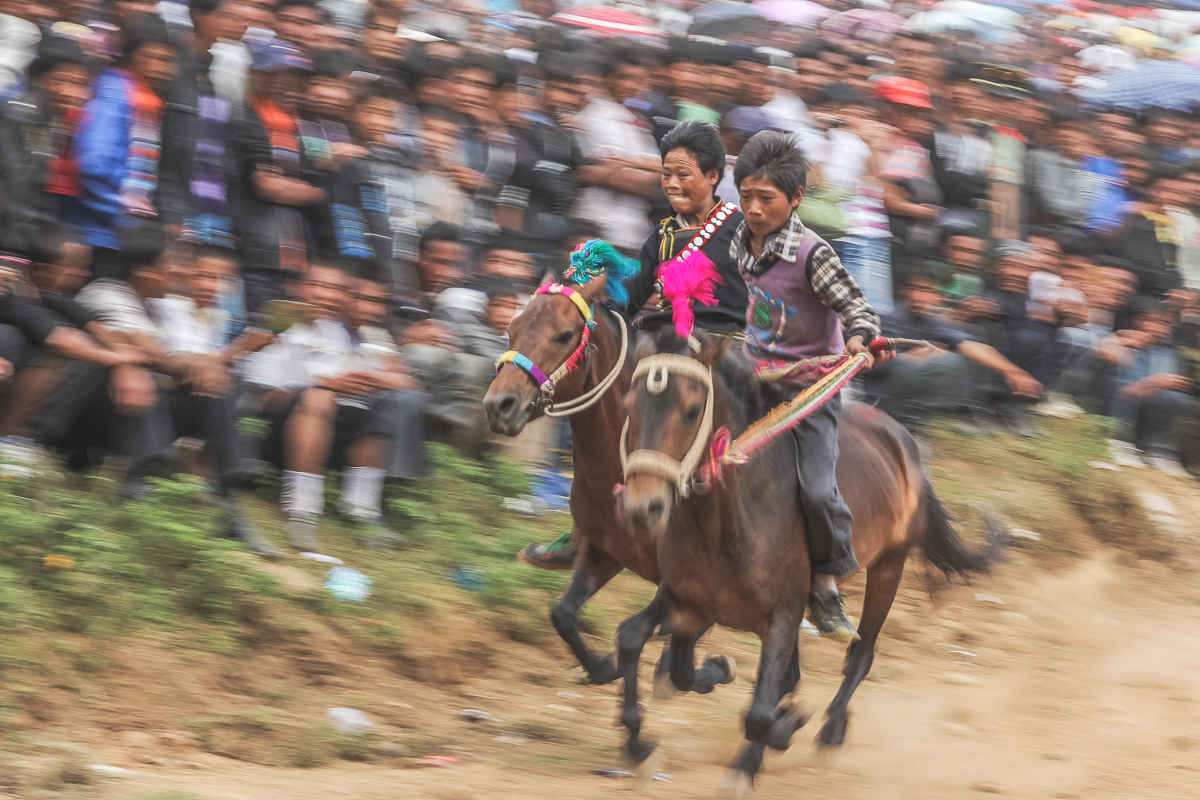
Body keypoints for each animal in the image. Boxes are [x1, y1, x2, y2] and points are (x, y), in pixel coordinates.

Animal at [482, 278, 734, 762]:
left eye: (564, 335)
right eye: (511, 328)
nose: (499, 405)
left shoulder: (689, 577)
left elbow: (657, 643)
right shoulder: (603, 550)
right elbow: (563, 614)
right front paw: (604, 669)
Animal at [619, 333, 1003, 796]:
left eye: (693, 410)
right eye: (628, 405)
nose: (642, 508)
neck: (726, 521)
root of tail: (904, 441)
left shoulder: (781, 614)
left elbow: (761, 711)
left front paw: (771, 741)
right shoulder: (686, 599)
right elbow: (640, 644)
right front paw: (643, 747)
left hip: (888, 566)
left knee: (861, 654)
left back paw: (831, 733)